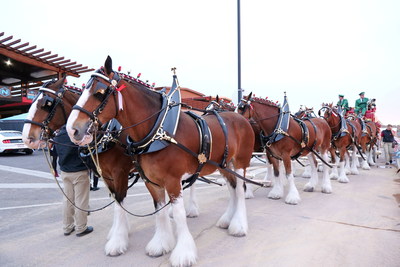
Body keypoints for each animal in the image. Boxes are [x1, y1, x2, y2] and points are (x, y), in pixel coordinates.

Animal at [65, 57, 253, 267]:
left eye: (99, 92)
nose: (72, 129)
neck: (158, 132)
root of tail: (240, 117)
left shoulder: (168, 180)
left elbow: (177, 213)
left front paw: (183, 253)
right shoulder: (149, 180)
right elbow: (158, 210)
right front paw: (161, 244)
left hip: (240, 163)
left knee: (240, 190)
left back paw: (239, 226)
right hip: (225, 165)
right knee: (232, 188)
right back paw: (228, 219)